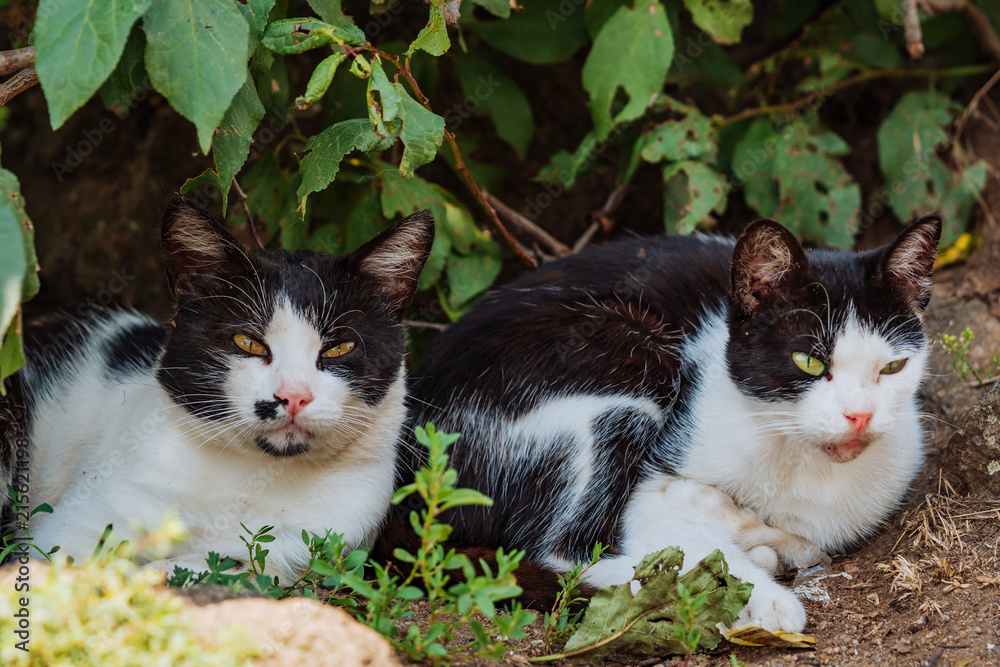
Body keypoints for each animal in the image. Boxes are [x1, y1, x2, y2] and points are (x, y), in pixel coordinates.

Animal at [2, 196, 434, 580]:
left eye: (339, 348)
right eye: (248, 343)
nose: (293, 395)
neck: (253, 479)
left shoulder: (308, 545)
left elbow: (227, 568)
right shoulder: (74, 527)